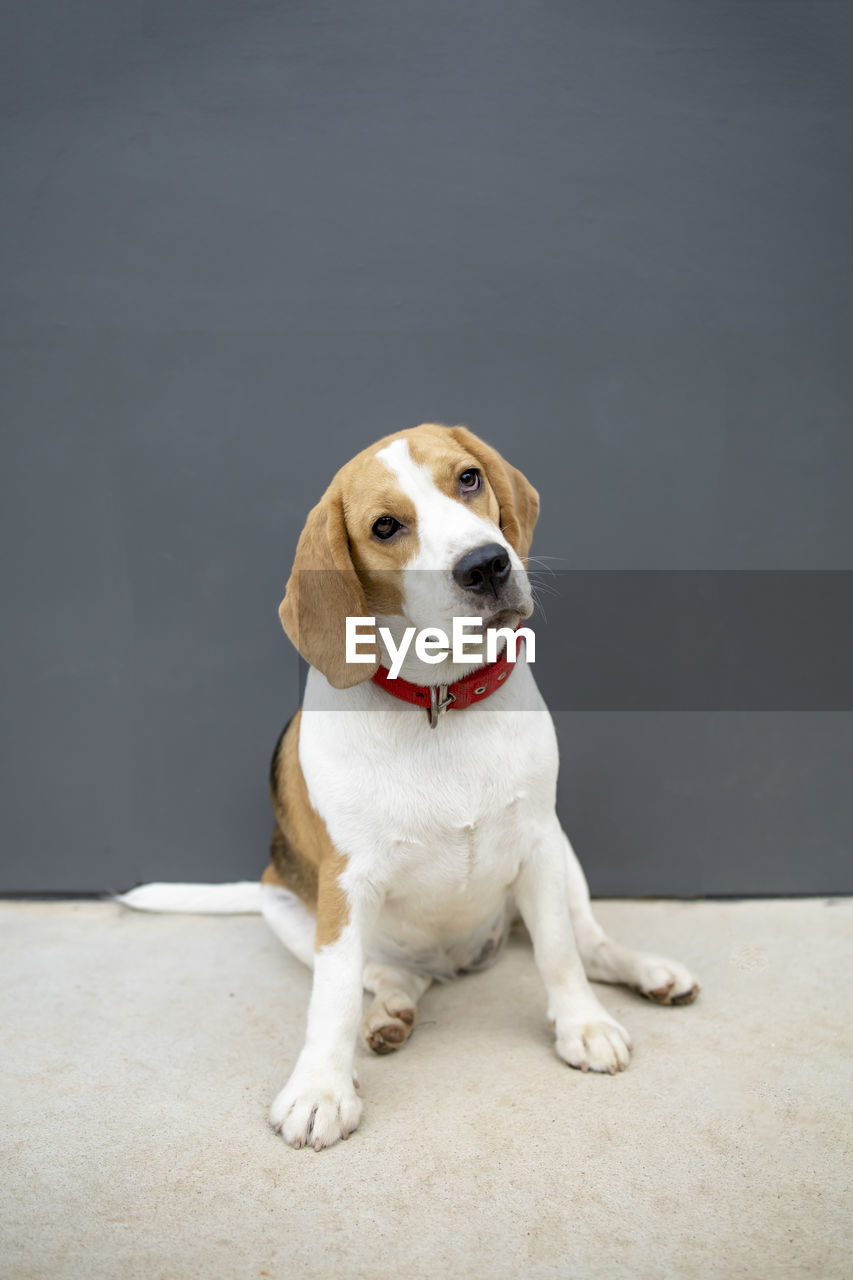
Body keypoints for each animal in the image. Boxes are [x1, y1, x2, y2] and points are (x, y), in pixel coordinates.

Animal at [124, 419, 696, 1152]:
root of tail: (459, 960)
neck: (439, 701)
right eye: (386, 526)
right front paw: (320, 1088)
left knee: (589, 942)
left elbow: (560, 954)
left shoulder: (537, 844)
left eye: (469, 479)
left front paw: (582, 1024)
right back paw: (389, 1013)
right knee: (386, 977)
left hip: (563, 855)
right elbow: (334, 998)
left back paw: (646, 972)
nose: (486, 564)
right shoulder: (344, 887)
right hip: (287, 908)